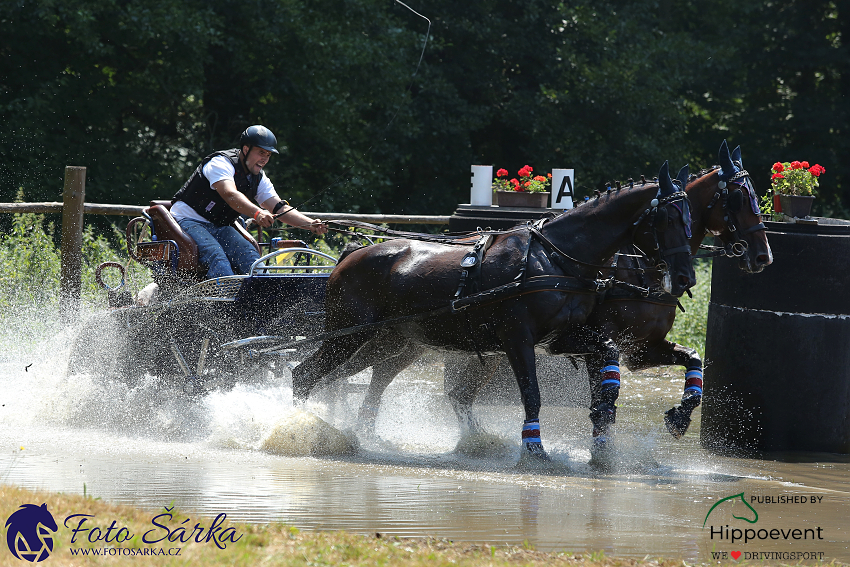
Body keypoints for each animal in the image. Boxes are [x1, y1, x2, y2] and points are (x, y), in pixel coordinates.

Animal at [292, 162, 696, 460]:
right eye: (668, 219)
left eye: (690, 219)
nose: (685, 277)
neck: (555, 258)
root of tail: (352, 254)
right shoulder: (517, 338)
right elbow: (531, 393)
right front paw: (533, 449)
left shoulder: (561, 338)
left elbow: (614, 354)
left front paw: (643, 417)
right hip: (349, 336)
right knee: (304, 375)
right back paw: (297, 428)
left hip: (385, 342)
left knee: (332, 379)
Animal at [444, 140, 768, 450]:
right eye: (739, 199)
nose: (763, 255)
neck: (639, 268)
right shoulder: (599, 339)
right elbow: (604, 394)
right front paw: (601, 442)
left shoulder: (640, 349)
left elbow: (691, 359)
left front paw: (679, 417)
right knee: (460, 394)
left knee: (460, 395)